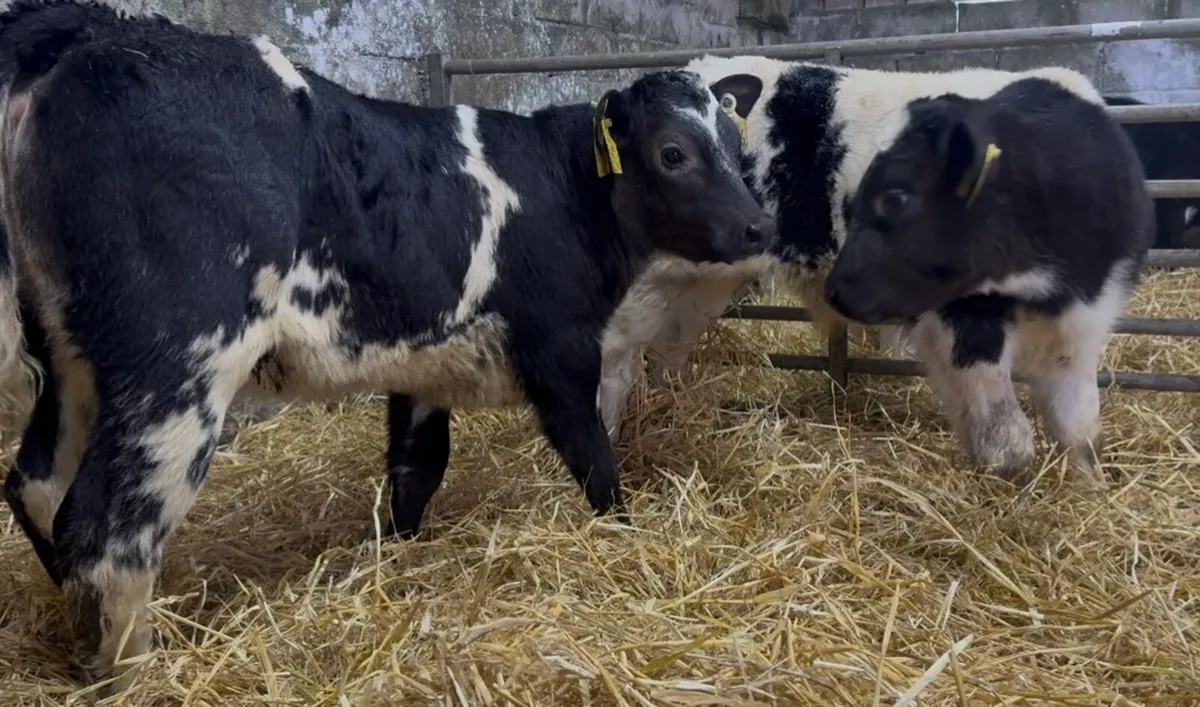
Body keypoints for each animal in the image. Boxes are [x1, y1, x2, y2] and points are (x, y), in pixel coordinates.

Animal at [0, 0, 774, 694]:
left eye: (737, 148)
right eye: (673, 153)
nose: (758, 226)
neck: (565, 190)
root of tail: (85, 30)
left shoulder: (426, 367)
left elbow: (415, 469)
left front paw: (398, 556)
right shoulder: (560, 350)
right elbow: (596, 464)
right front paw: (625, 535)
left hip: (71, 357)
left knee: (37, 486)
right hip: (178, 362)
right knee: (105, 529)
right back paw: (134, 672)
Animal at [598, 56, 1149, 484]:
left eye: (895, 198)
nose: (841, 289)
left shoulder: (1080, 331)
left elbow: (1081, 432)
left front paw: (1087, 492)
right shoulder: (960, 323)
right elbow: (1009, 439)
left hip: (705, 282)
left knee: (669, 347)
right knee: (614, 359)